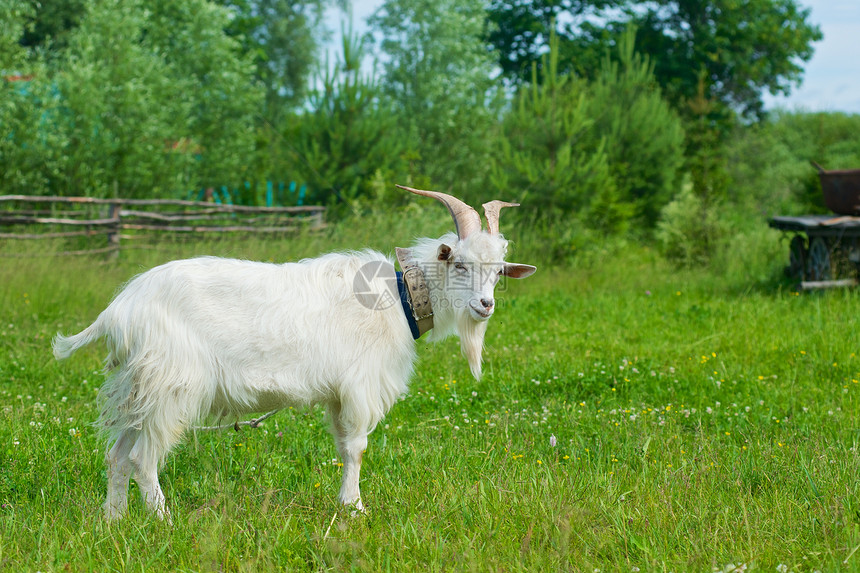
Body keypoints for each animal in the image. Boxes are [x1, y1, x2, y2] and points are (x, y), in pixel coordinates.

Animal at [52, 187, 532, 520]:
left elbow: (343, 447)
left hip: (141, 386)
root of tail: (118, 310)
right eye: (461, 264)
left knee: (118, 455)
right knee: (142, 458)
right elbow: (357, 448)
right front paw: (355, 509)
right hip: (172, 383)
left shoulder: (338, 394)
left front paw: (345, 504)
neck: (399, 299)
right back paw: (163, 520)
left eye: (498, 272)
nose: (485, 305)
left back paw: (114, 521)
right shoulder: (359, 385)